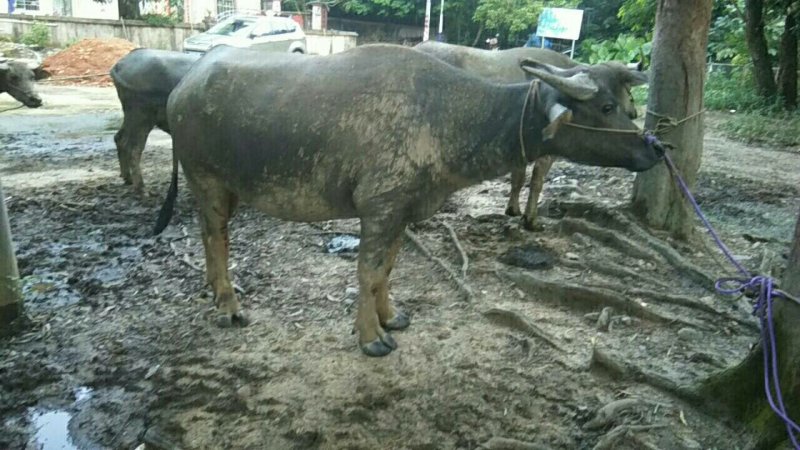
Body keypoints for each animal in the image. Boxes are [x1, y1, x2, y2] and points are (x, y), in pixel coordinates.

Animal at [109, 49, 202, 193]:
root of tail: (119, 65)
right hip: (141, 117)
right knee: (132, 147)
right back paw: (142, 189)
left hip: (132, 117)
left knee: (119, 138)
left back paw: (127, 178)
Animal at [416, 40, 648, 230]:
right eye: (624, 92)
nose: (634, 112)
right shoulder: (546, 151)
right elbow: (536, 180)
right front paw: (530, 219)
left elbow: (518, 178)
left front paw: (513, 209)